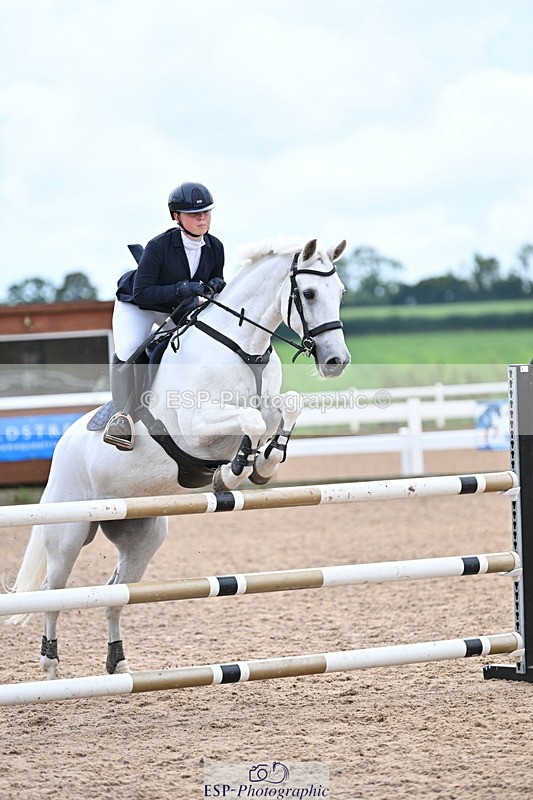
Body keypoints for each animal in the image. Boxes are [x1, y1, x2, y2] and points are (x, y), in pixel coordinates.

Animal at [6, 237, 350, 679]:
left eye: (339, 292)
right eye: (308, 293)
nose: (336, 361)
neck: (242, 349)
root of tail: (61, 448)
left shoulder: (269, 404)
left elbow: (286, 407)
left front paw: (265, 463)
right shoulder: (197, 428)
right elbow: (252, 420)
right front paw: (235, 472)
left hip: (142, 534)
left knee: (115, 592)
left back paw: (118, 663)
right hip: (68, 532)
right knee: (54, 590)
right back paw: (50, 665)